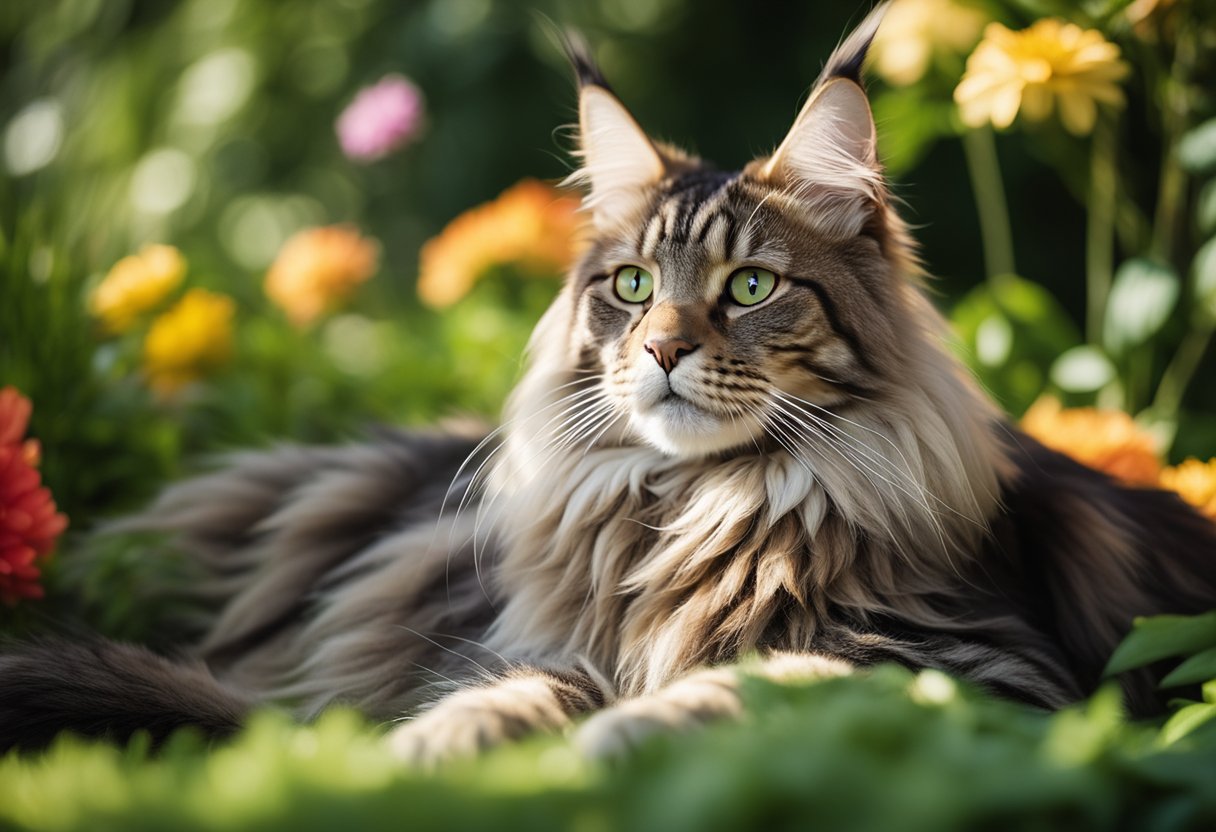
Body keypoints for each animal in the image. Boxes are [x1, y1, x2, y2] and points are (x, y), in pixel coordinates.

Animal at [2, 3, 1216, 763]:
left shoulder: (989, 671)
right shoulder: (547, 647)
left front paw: (627, 732)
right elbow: (513, 690)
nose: (662, 350)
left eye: (750, 285)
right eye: (632, 286)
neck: (696, 510)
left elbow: (765, 679)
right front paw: (431, 746)